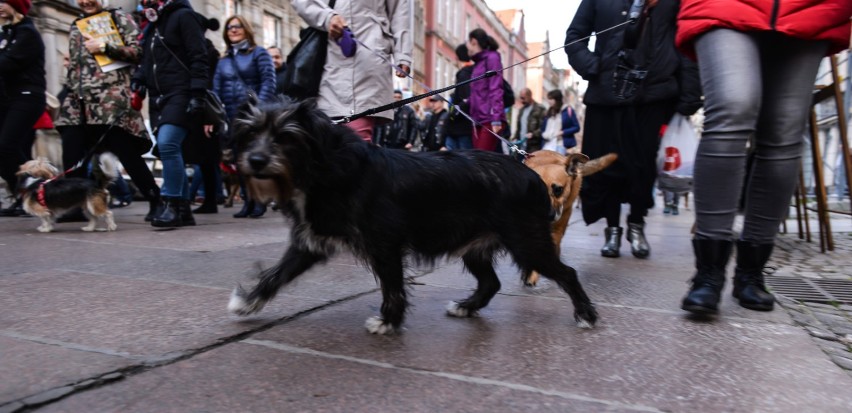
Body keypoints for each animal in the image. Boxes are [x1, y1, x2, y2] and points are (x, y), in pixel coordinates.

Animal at [226, 98, 600, 334]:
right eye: (250, 133)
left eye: (286, 136)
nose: (255, 161)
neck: (327, 166)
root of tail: (531, 174)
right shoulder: (310, 243)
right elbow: (276, 274)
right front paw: (248, 302)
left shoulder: (384, 244)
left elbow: (392, 286)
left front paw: (388, 321)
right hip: (475, 245)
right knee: (490, 282)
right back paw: (466, 306)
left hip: (525, 241)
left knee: (566, 273)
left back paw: (586, 314)